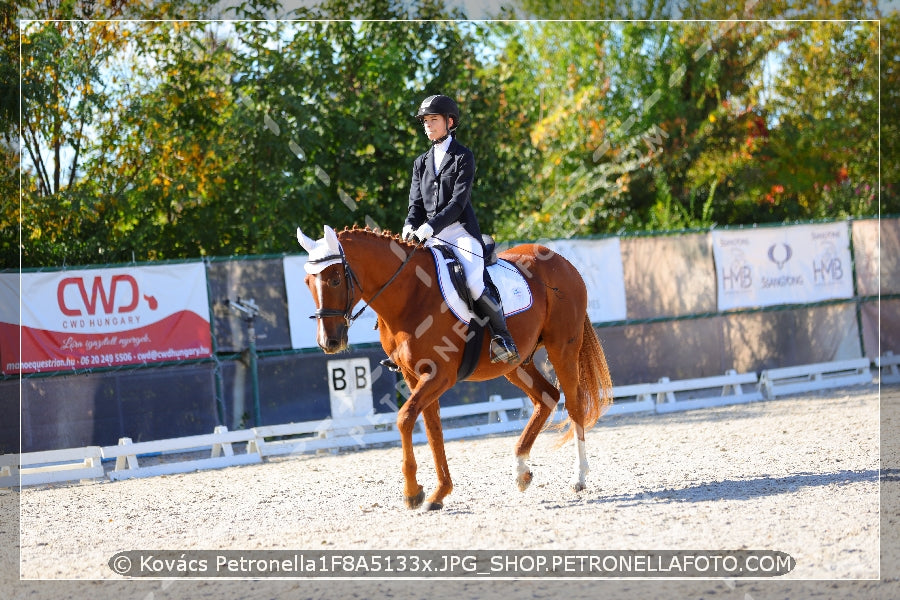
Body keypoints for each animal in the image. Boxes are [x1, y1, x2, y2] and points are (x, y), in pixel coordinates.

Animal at [296, 225, 612, 510]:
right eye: (308, 282)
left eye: (335, 280)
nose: (329, 342)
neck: (410, 295)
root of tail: (561, 260)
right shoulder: (414, 377)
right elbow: (432, 428)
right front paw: (439, 493)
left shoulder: (440, 375)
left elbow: (405, 418)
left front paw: (413, 493)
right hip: (515, 364)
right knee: (546, 397)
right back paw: (521, 471)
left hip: (562, 349)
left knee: (573, 404)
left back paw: (579, 478)